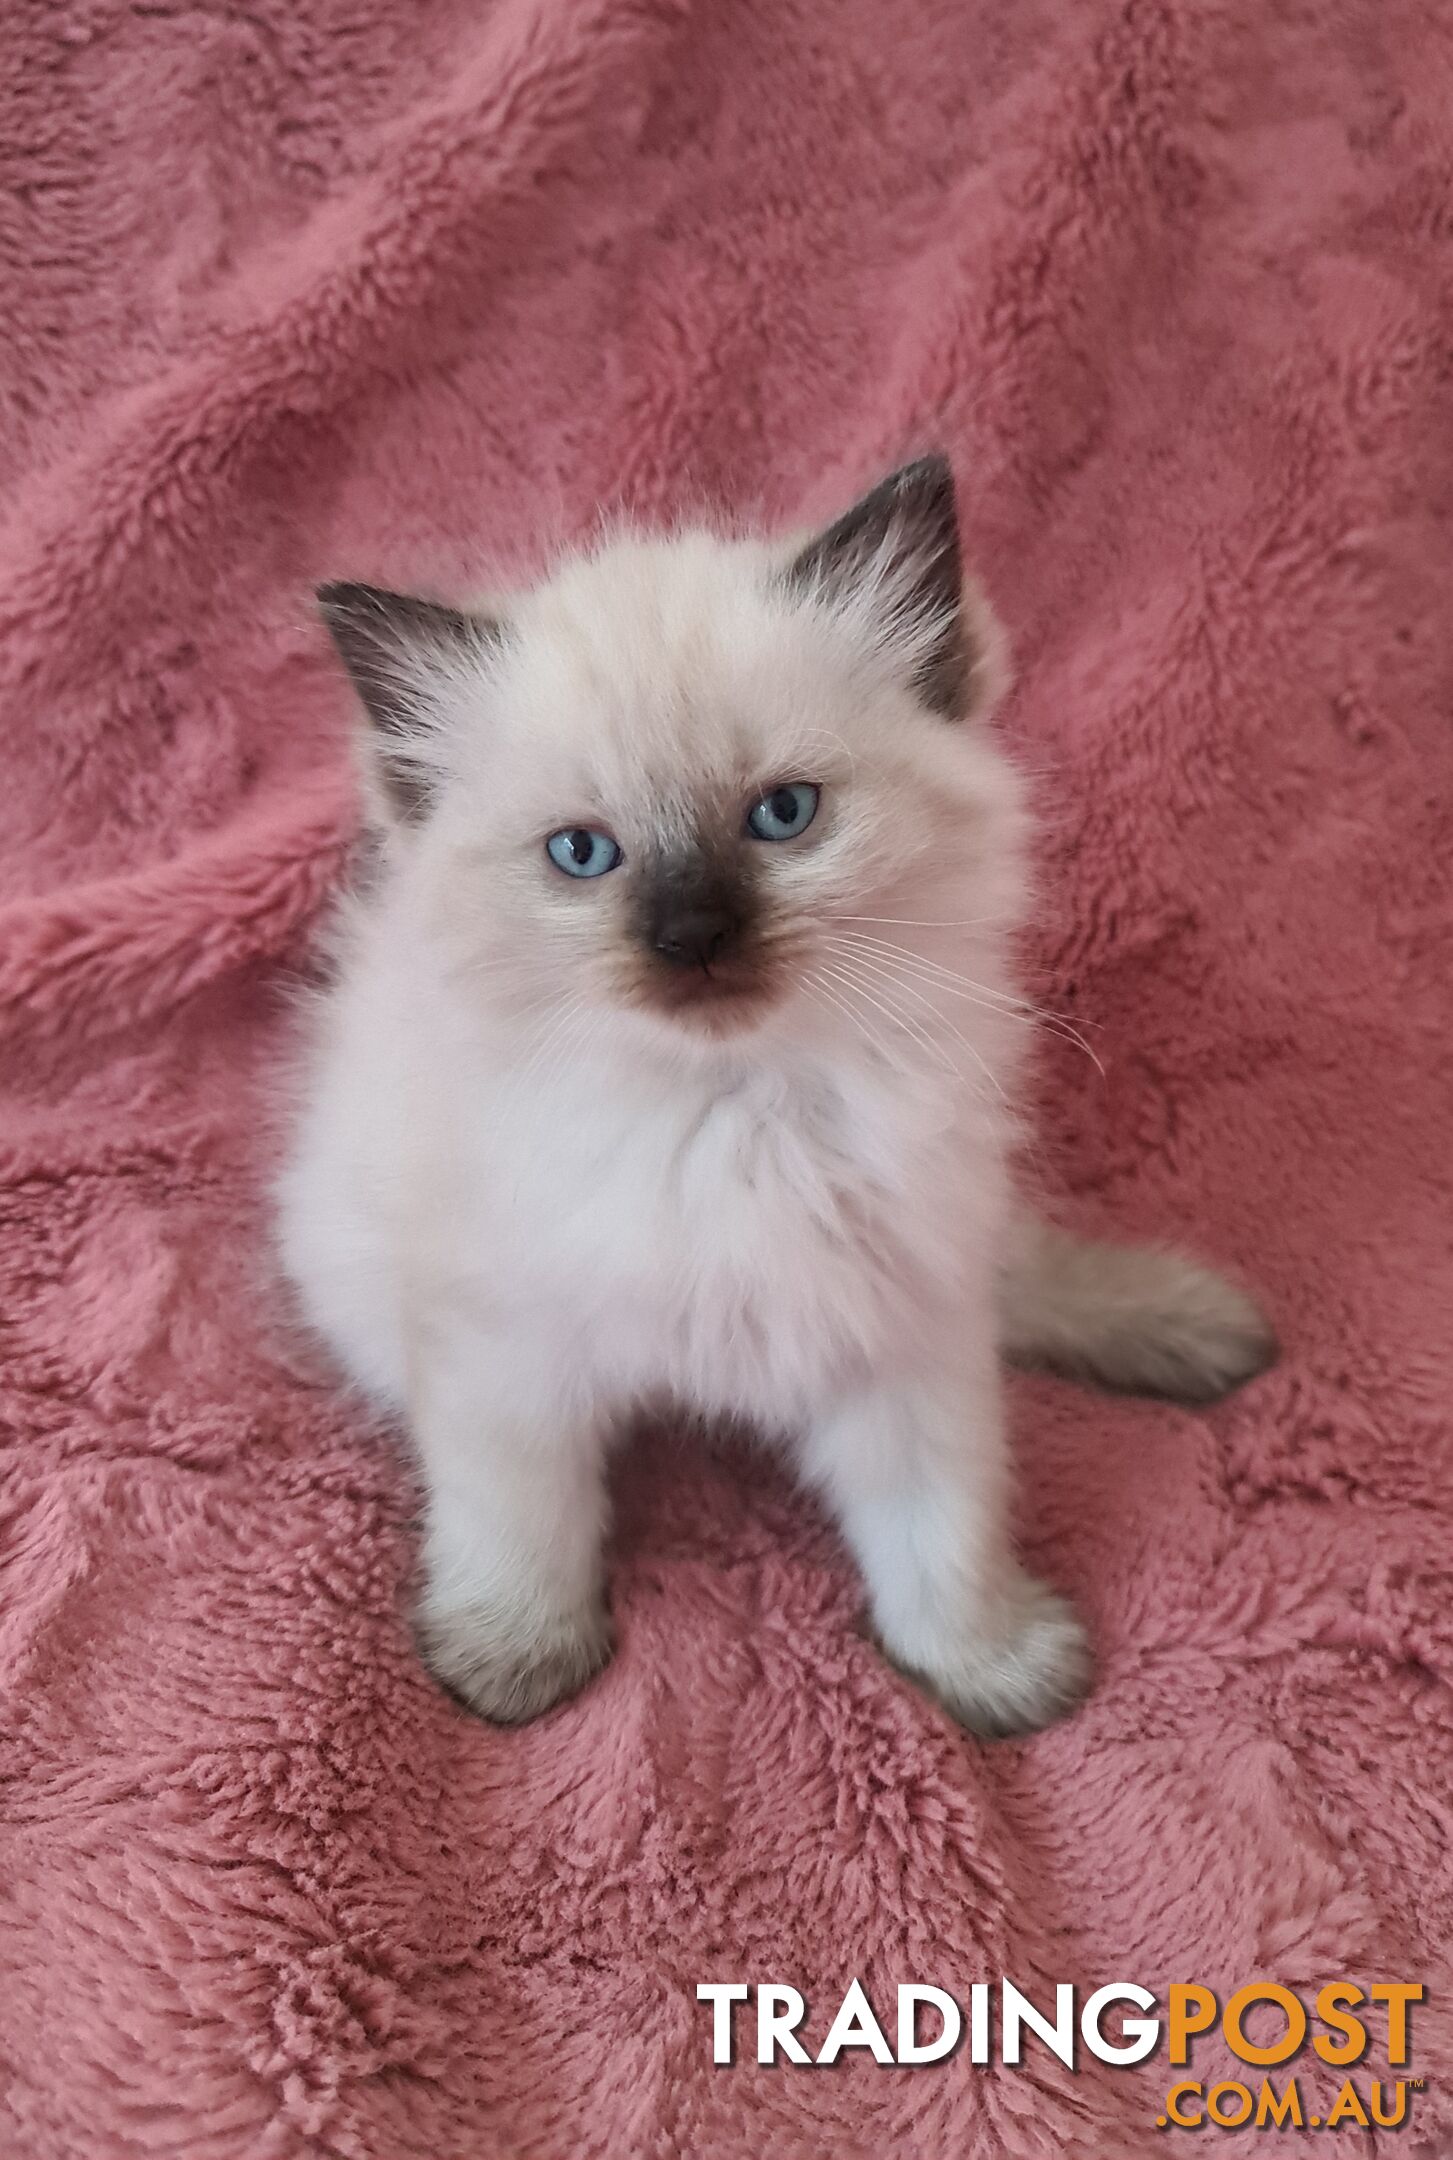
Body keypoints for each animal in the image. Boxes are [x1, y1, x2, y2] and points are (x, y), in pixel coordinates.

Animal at [278, 455, 1278, 1736]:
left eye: (782, 815)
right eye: (581, 855)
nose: (690, 939)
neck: (731, 1114)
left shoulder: (899, 1335)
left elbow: (942, 1537)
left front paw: (992, 1672)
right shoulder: (505, 1356)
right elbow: (521, 1523)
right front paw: (514, 1663)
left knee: (1019, 1286)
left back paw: (1194, 1332)